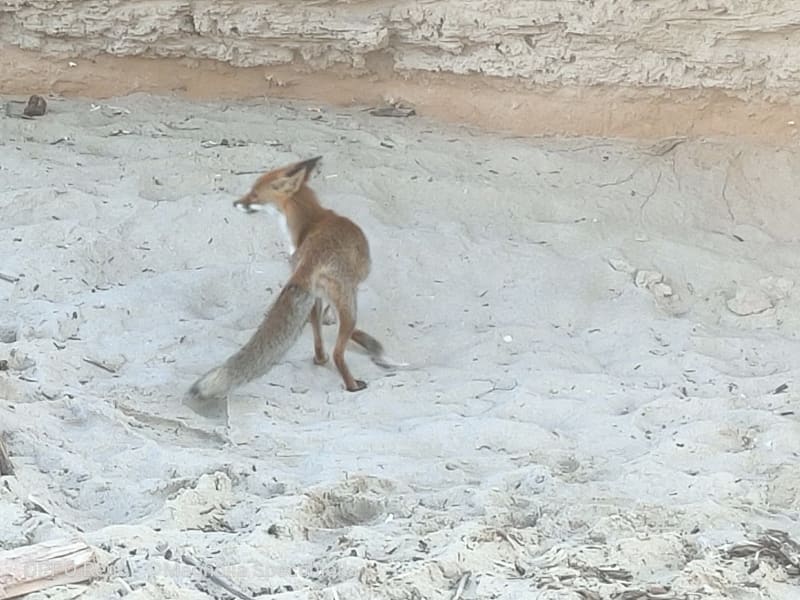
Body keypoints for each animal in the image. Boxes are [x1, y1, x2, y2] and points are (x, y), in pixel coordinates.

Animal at [187, 156, 399, 408]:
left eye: (254, 194)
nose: (235, 203)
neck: (313, 222)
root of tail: (314, 256)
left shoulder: (315, 295)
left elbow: (322, 316)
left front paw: (328, 319)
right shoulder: (350, 288)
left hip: (316, 299)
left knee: (320, 344)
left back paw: (321, 359)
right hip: (350, 308)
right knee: (338, 353)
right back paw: (353, 386)